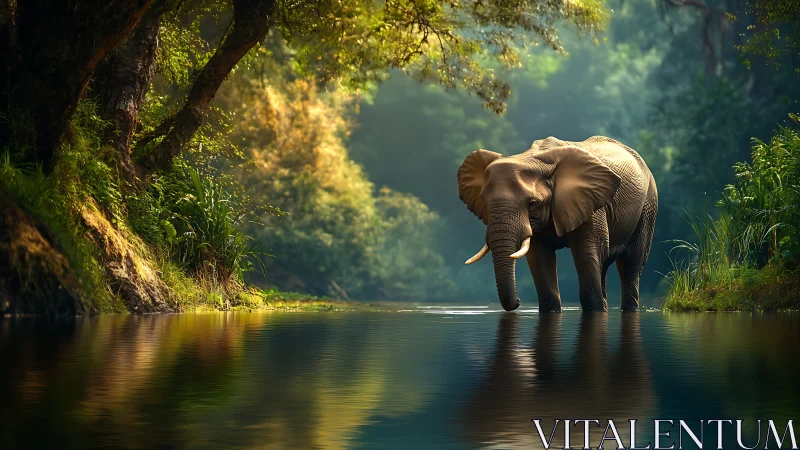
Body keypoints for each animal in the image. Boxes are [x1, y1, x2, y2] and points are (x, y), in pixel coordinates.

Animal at [457, 135, 658, 312]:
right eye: (484, 201)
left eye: (532, 203)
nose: (519, 302)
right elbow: (539, 258)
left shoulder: (592, 204)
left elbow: (587, 253)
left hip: (648, 205)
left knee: (630, 264)